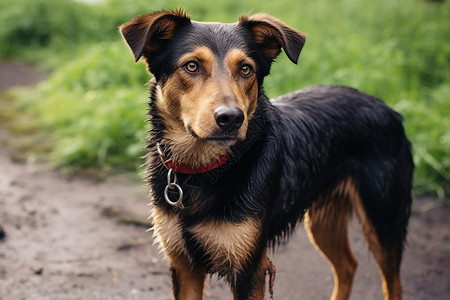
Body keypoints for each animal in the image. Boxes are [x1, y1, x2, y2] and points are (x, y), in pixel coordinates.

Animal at [118, 8, 412, 300]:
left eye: (246, 69)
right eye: (192, 66)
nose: (232, 118)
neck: (206, 170)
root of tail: (389, 110)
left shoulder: (250, 269)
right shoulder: (183, 266)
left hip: (382, 220)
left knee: (393, 282)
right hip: (324, 218)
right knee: (347, 266)